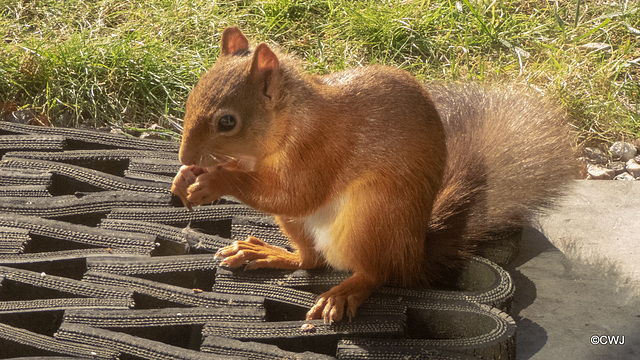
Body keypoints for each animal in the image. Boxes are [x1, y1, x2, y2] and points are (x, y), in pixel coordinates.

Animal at [170, 26, 576, 322]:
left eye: (228, 122)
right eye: (191, 96)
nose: (184, 155)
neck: (291, 120)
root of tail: (413, 254)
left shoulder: (323, 149)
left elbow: (295, 193)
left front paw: (215, 180)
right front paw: (186, 175)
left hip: (373, 219)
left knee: (377, 273)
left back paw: (343, 293)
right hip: (301, 225)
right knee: (311, 259)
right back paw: (267, 253)